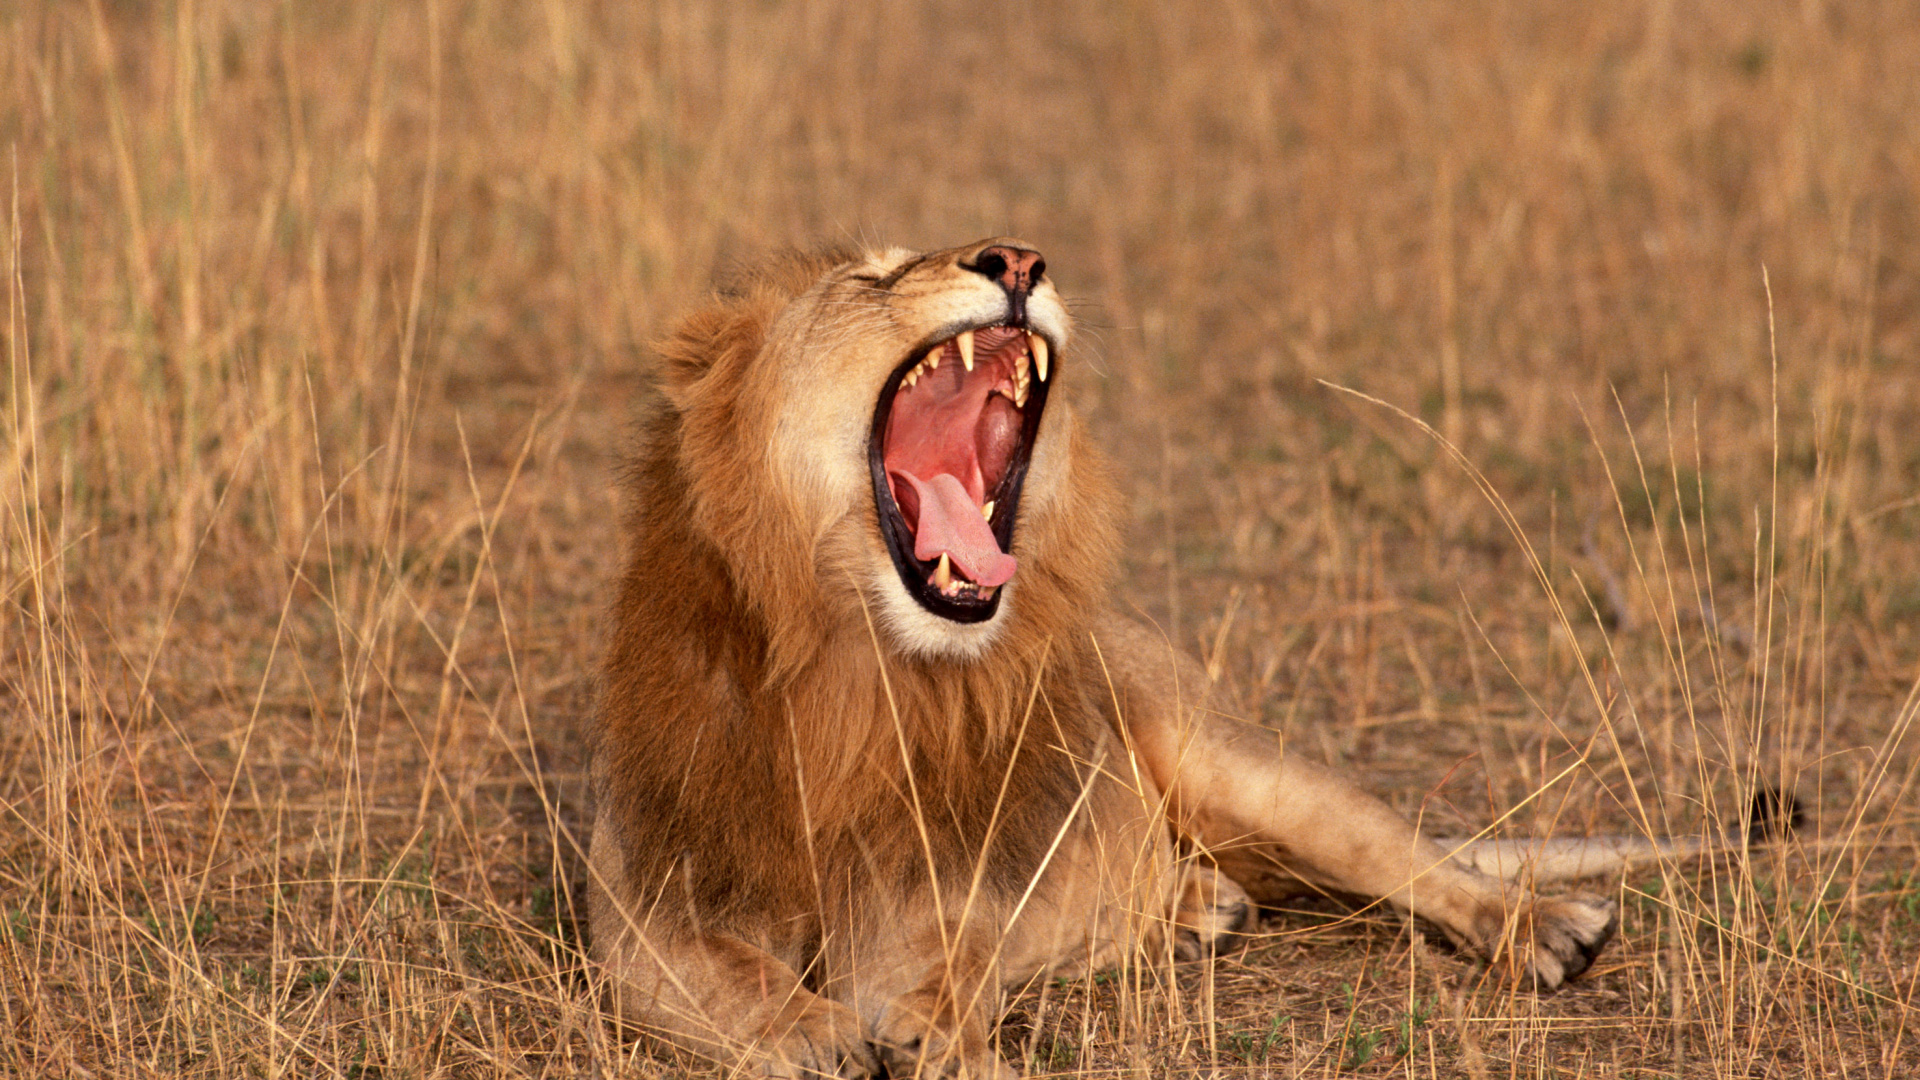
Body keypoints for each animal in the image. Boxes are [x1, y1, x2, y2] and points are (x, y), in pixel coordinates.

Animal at [587, 238, 1644, 1078]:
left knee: (1412, 857)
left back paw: (1548, 928)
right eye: (871, 275)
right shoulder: (649, 901)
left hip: (1237, 760)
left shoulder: (933, 898)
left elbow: (943, 977)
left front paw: (935, 1038)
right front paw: (811, 1031)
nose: (1017, 258)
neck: (853, 668)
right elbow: (723, 976)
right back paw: (1198, 909)